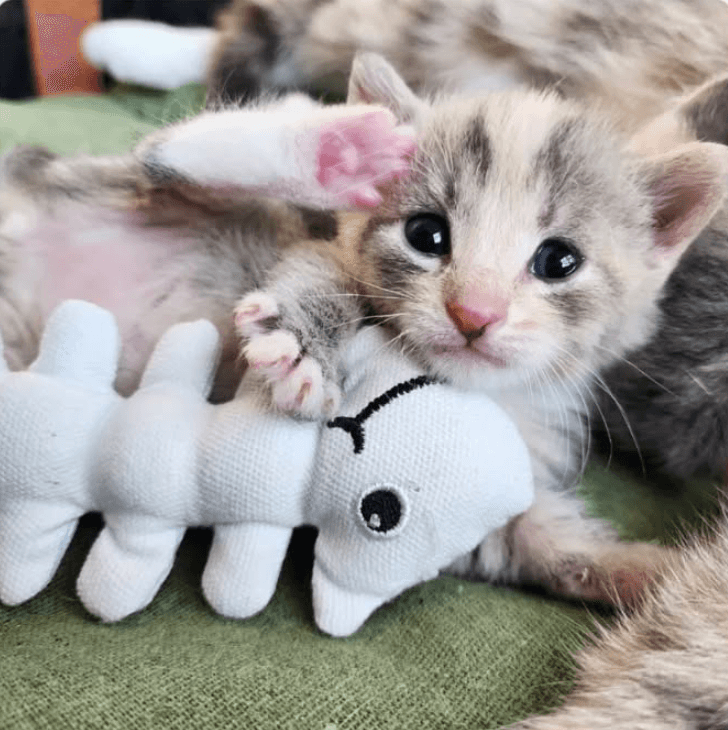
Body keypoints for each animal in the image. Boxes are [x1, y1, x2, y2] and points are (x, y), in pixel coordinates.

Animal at [2, 53, 725, 614]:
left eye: (559, 261)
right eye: (427, 234)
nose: (475, 312)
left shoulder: (478, 503)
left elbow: (533, 543)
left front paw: (662, 579)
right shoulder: (319, 250)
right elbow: (322, 278)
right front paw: (303, 350)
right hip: (170, 192)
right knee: (169, 156)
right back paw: (333, 155)